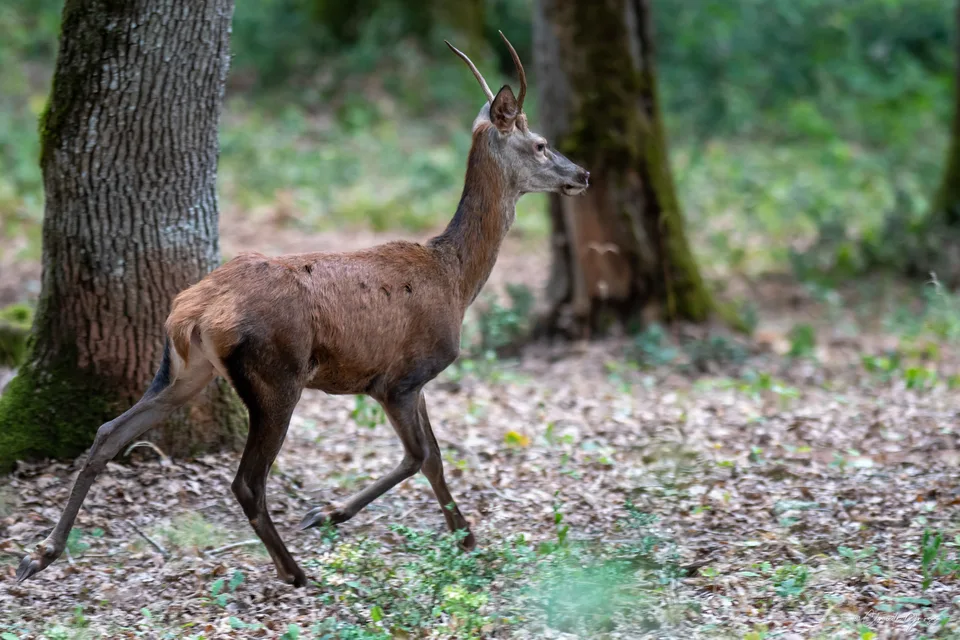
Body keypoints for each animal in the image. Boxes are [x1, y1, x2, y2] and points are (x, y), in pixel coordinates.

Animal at [16, 32, 590, 588]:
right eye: (540, 144)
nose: (582, 173)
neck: (455, 279)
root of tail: (191, 311)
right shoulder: (400, 378)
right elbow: (421, 456)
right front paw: (343, 517)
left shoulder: (411, 380)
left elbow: (434, 458)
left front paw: (463, 540)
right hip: (276, 374)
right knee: (247, 481)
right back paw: (293, 571)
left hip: (184, 370)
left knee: (108, 432)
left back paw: (40, 554)